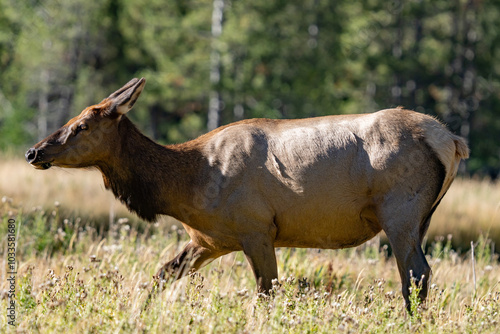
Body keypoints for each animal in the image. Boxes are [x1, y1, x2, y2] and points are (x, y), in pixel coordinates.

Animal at [25, 77, 470, 310]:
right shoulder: (209, 240)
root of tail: (451, 140)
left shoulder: (257, 229)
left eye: (82, 125)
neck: (186, 187)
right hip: (423, 217)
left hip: (400, 212)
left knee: (416, 273)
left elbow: (267, 290)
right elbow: (161, 276)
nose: (35, 152)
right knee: (418, 273)